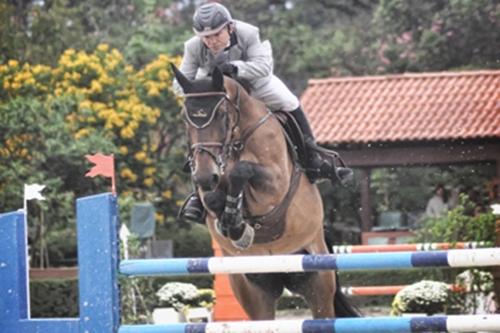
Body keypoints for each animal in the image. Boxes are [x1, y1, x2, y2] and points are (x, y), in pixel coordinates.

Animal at [172, 64, 360, 320]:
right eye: (185, 118)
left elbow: (241, 171)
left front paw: (235, 221)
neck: (236, 141)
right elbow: (213, 197)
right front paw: (234, 223)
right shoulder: (209, 186)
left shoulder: (275, 184)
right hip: (253, 287)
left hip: (319, 281)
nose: (203, 176)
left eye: (221, 115)